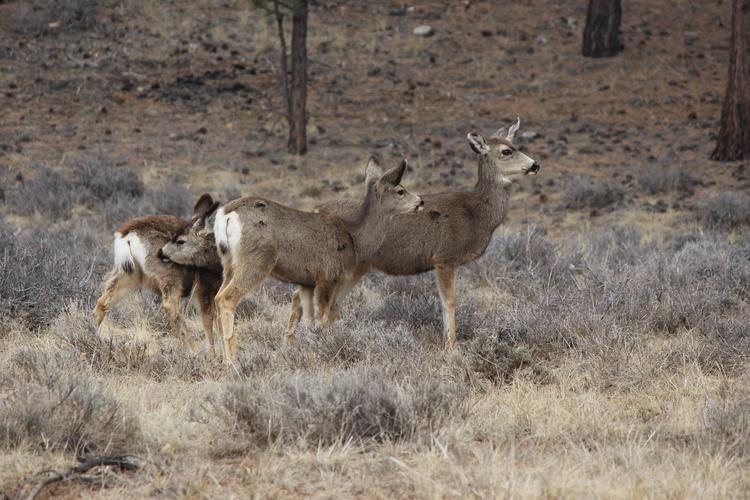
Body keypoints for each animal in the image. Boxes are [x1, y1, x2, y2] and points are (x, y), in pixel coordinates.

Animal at [159, 156, 426, 364]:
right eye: (400, 190)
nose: (421, 202)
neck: (355, 239)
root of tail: (226, 214)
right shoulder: (327, 276)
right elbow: (322, 320)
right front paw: (324, 350)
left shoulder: (306, 281)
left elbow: (306, 320)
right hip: (257, 260)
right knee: (225, 298)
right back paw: (233, 361)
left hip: (228, 264)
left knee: (215, 299)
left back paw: (224, 358)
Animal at [294, 118, 540, 350]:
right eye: (506, 151)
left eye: (515, 145)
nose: (535, 164)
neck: (475, 215)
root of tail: (315, 209)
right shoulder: (444, 257)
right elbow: (449, 302)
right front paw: (452, 348)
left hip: (354, 268)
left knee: (309, 298)